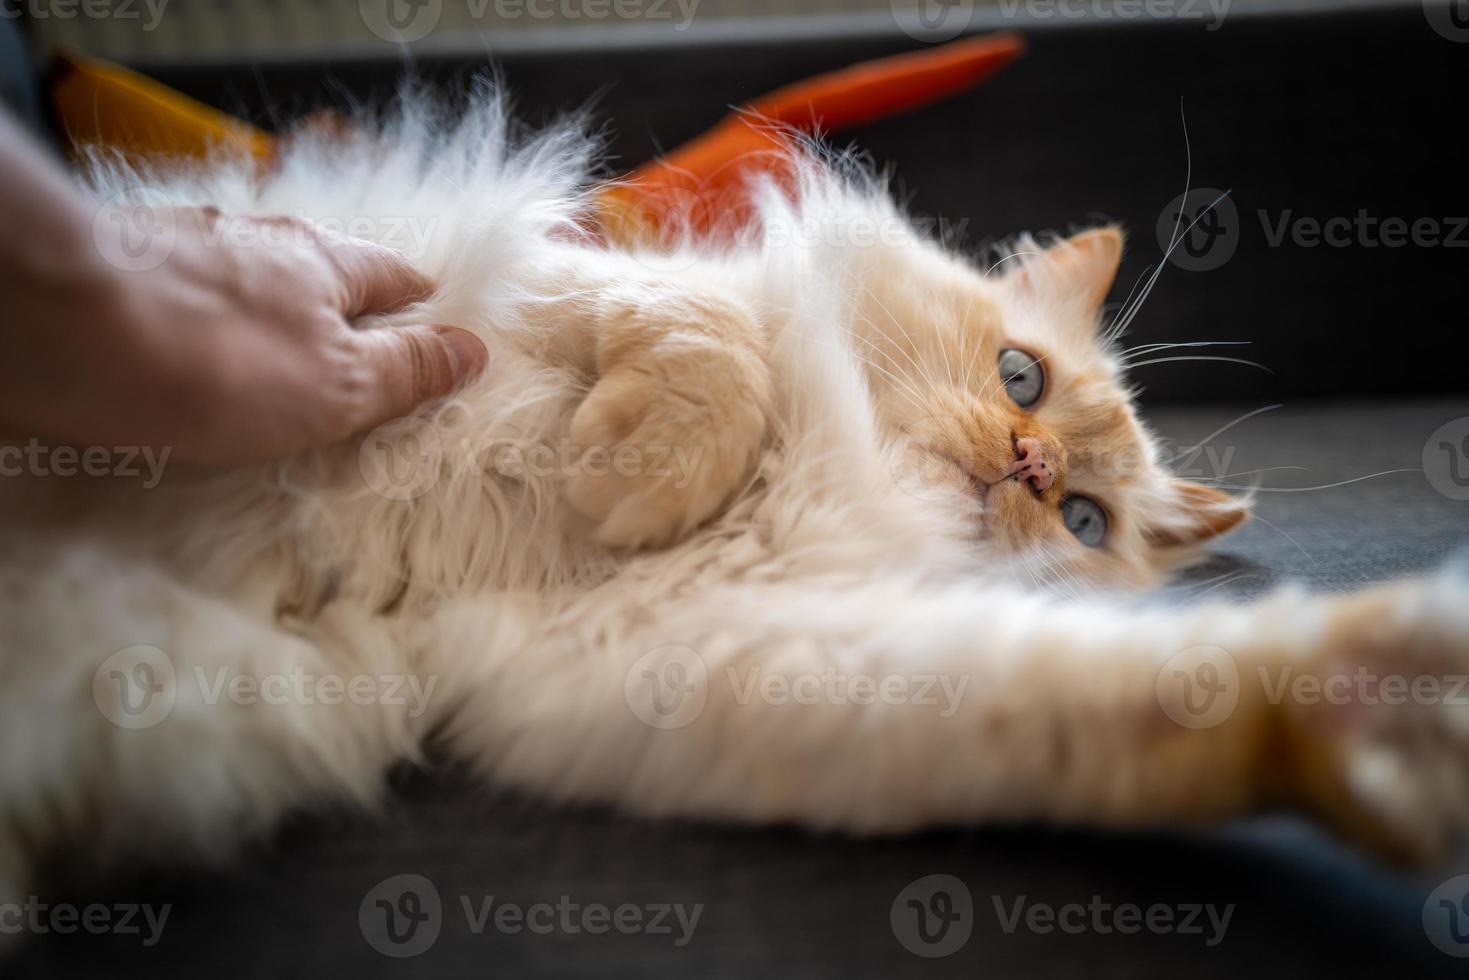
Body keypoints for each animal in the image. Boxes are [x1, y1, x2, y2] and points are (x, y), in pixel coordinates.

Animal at [2, 91, 1469, 905]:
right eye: (1021, 378)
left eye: (1084, 526)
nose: (1030, 467)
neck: (828, 468)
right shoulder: (511, 290)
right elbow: (718, 350)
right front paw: (631, 475)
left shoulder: (698, 658)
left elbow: (1109, 714)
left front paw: (1382, 714)